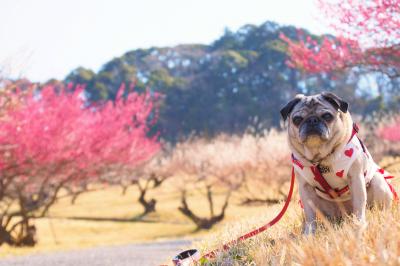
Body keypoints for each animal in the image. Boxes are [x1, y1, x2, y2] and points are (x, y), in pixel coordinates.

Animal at [282, 92, 396, 235]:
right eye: (297, 119)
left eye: (327, 116)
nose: (312, 120)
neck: (320, 158)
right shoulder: (305, 187)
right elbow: (310, 215)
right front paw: (309, 233)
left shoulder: (356, 178)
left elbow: (359, 204)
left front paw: (359, 225)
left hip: (377, 181)